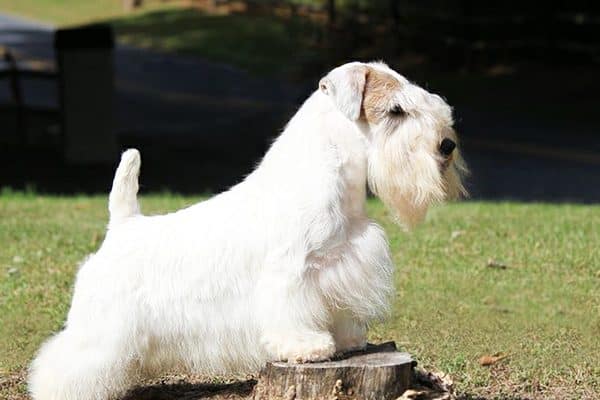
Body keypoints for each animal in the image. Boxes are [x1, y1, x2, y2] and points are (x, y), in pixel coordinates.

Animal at [28, 60, 466, 400]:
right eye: (395, 110)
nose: (446, 145)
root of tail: (122, 225)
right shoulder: (290, 272)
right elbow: (290, 313)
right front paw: (306, 347)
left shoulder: (338, 265)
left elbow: (337, 310)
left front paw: (346, 340)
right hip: (98, 328)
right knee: (63, 361)